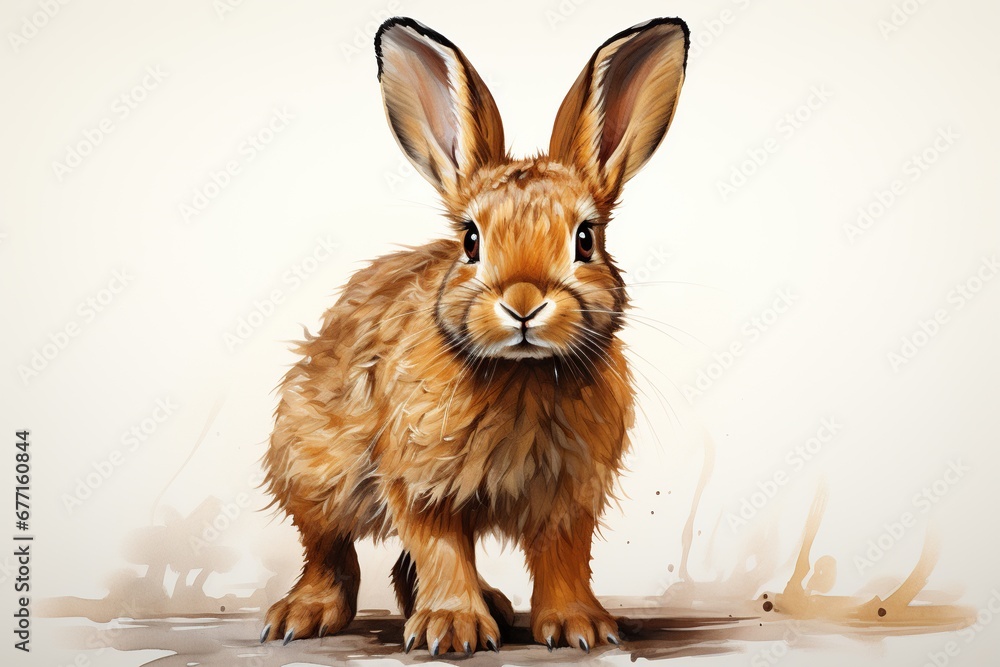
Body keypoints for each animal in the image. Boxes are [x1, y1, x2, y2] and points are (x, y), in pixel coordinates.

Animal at [260, 15, 689, 655]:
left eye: (585, 240)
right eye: (470, 241)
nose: (523, 304)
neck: (522, 373)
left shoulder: (570, 498)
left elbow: (562, 558)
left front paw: (580, 627)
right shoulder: (419, 481)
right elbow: (439, 548)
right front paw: (453, 628)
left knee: (399, 567)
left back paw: (495, 607)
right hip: (311, 466)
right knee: (328, 547)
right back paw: (302, 615)